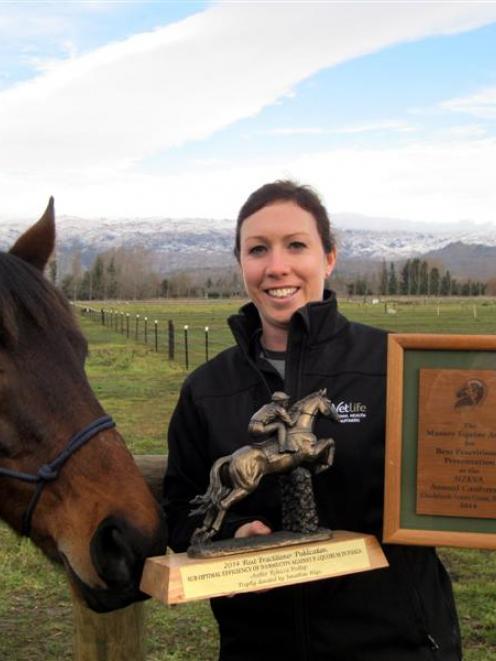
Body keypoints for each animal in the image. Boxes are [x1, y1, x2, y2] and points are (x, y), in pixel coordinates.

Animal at [190, 386, 338, 540]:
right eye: (329, 402)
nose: (338, 418)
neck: (299, 428)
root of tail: (231, 458)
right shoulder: (310, 453)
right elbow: (329, 441)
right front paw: (323, 466)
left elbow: (328, 441)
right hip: (246, 487)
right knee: (223, 504)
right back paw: (211, 532)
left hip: (229, 487)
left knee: (213, 504)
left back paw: (202, 533)